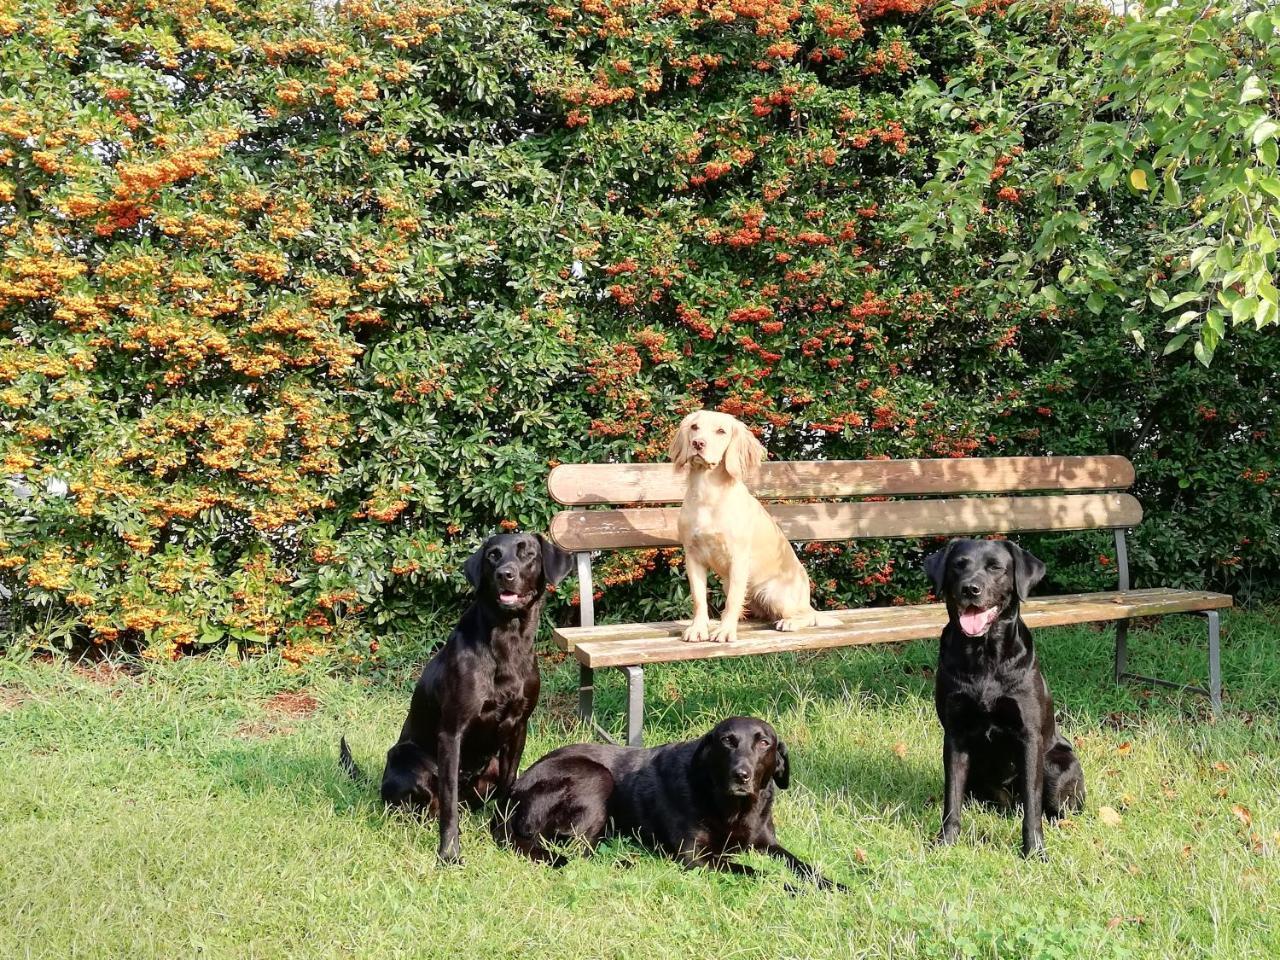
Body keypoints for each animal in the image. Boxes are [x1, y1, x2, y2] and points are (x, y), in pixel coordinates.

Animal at [345, 535, 576, 865]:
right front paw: (449, 853)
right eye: (493, 556)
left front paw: (501, 834)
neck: (508, 639)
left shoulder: (518, 729)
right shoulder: (452, 733)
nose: (505, 574)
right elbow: (449, 803)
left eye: (528, 553)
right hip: (407, 757)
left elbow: (508, 789)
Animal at [486, 716, 839, 890]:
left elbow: (805, 866)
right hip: (597, 776)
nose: (742, 775)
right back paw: (626, 862)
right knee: (578, 850)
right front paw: (792, 888)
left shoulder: (769, 845)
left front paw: (837, 886)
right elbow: (759, 873)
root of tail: (509, 799)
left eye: (764, 743)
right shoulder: (695, 857)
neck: (733, 808)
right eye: (728, 741)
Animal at [926, 537, 1085, 860]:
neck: (983, 653)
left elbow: (1033, 807)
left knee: (1054, 808)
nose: (970, 589)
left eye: (995, 567)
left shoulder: (1029, 737)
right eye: (958, 565)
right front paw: (946, 842)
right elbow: (952, 799)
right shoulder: (955, 735)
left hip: (1059, 764)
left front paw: (1034, 852)